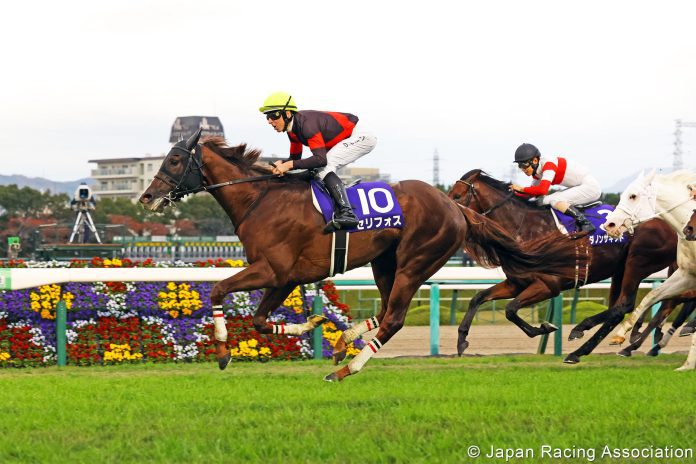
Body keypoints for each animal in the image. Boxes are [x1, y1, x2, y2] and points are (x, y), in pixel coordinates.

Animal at [140, 130, 576, 380]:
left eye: (175, 160)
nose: (147, 197)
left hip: (416, 261)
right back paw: (343, 343)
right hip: (385, 262)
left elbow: (218, 292)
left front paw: (222, 352)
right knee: (385, 311)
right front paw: (314, 322)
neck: (260, 199)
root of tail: (454, 206)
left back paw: (346, 368)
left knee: (395, 318)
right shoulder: (285, 276)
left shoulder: (272, 269)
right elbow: (262, 321)